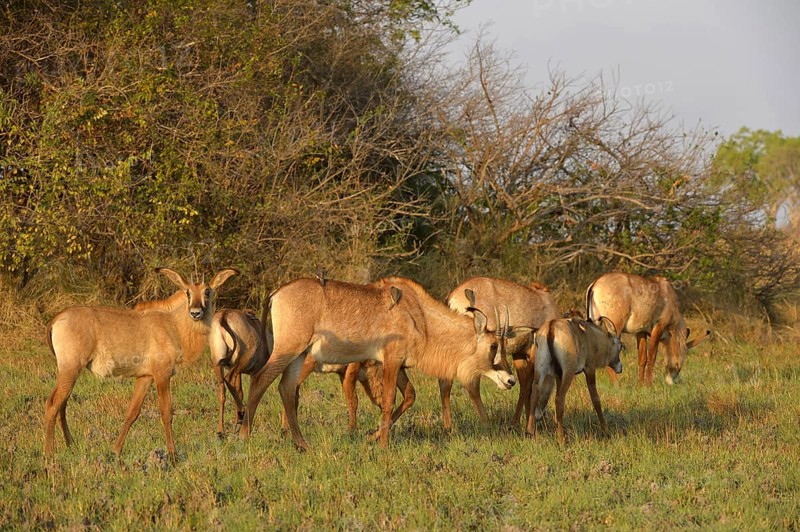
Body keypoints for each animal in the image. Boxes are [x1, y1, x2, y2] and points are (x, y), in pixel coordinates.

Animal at [44, 267, 238, 459]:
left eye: (207, 292)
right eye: (187, 292)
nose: (196, 313)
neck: (173, 324)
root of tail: (56, 320)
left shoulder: (145, 377)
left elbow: (132, 412)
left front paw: (116, 451)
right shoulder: (162, 375)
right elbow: (166, 412)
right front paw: (173, 454)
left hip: (70, 372)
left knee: (62, 404)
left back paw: (71, 446)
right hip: (70, 369)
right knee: (53, 403)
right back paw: (49, 454)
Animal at [239, 276, 515, 450]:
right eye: (493, 346)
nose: (510, 380)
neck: (420, 317)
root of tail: (276, 293)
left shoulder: (398, 364)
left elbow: (409, 396)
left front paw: (372, 436)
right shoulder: (391, 359)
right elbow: (389, 399)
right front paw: (384, 445)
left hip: (299, 355)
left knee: (286, 389)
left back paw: (302, 443)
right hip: (288, 349)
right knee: (260, 379)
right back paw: (245, 435)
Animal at [446, 277, 559, 430]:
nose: (540, 416)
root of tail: (453, 297)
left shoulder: (519, 354)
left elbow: (525, 386)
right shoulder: (533, 352)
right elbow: (529, 386)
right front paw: (518, 424)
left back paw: (449, 426)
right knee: (472, 384)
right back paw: (486, 422)